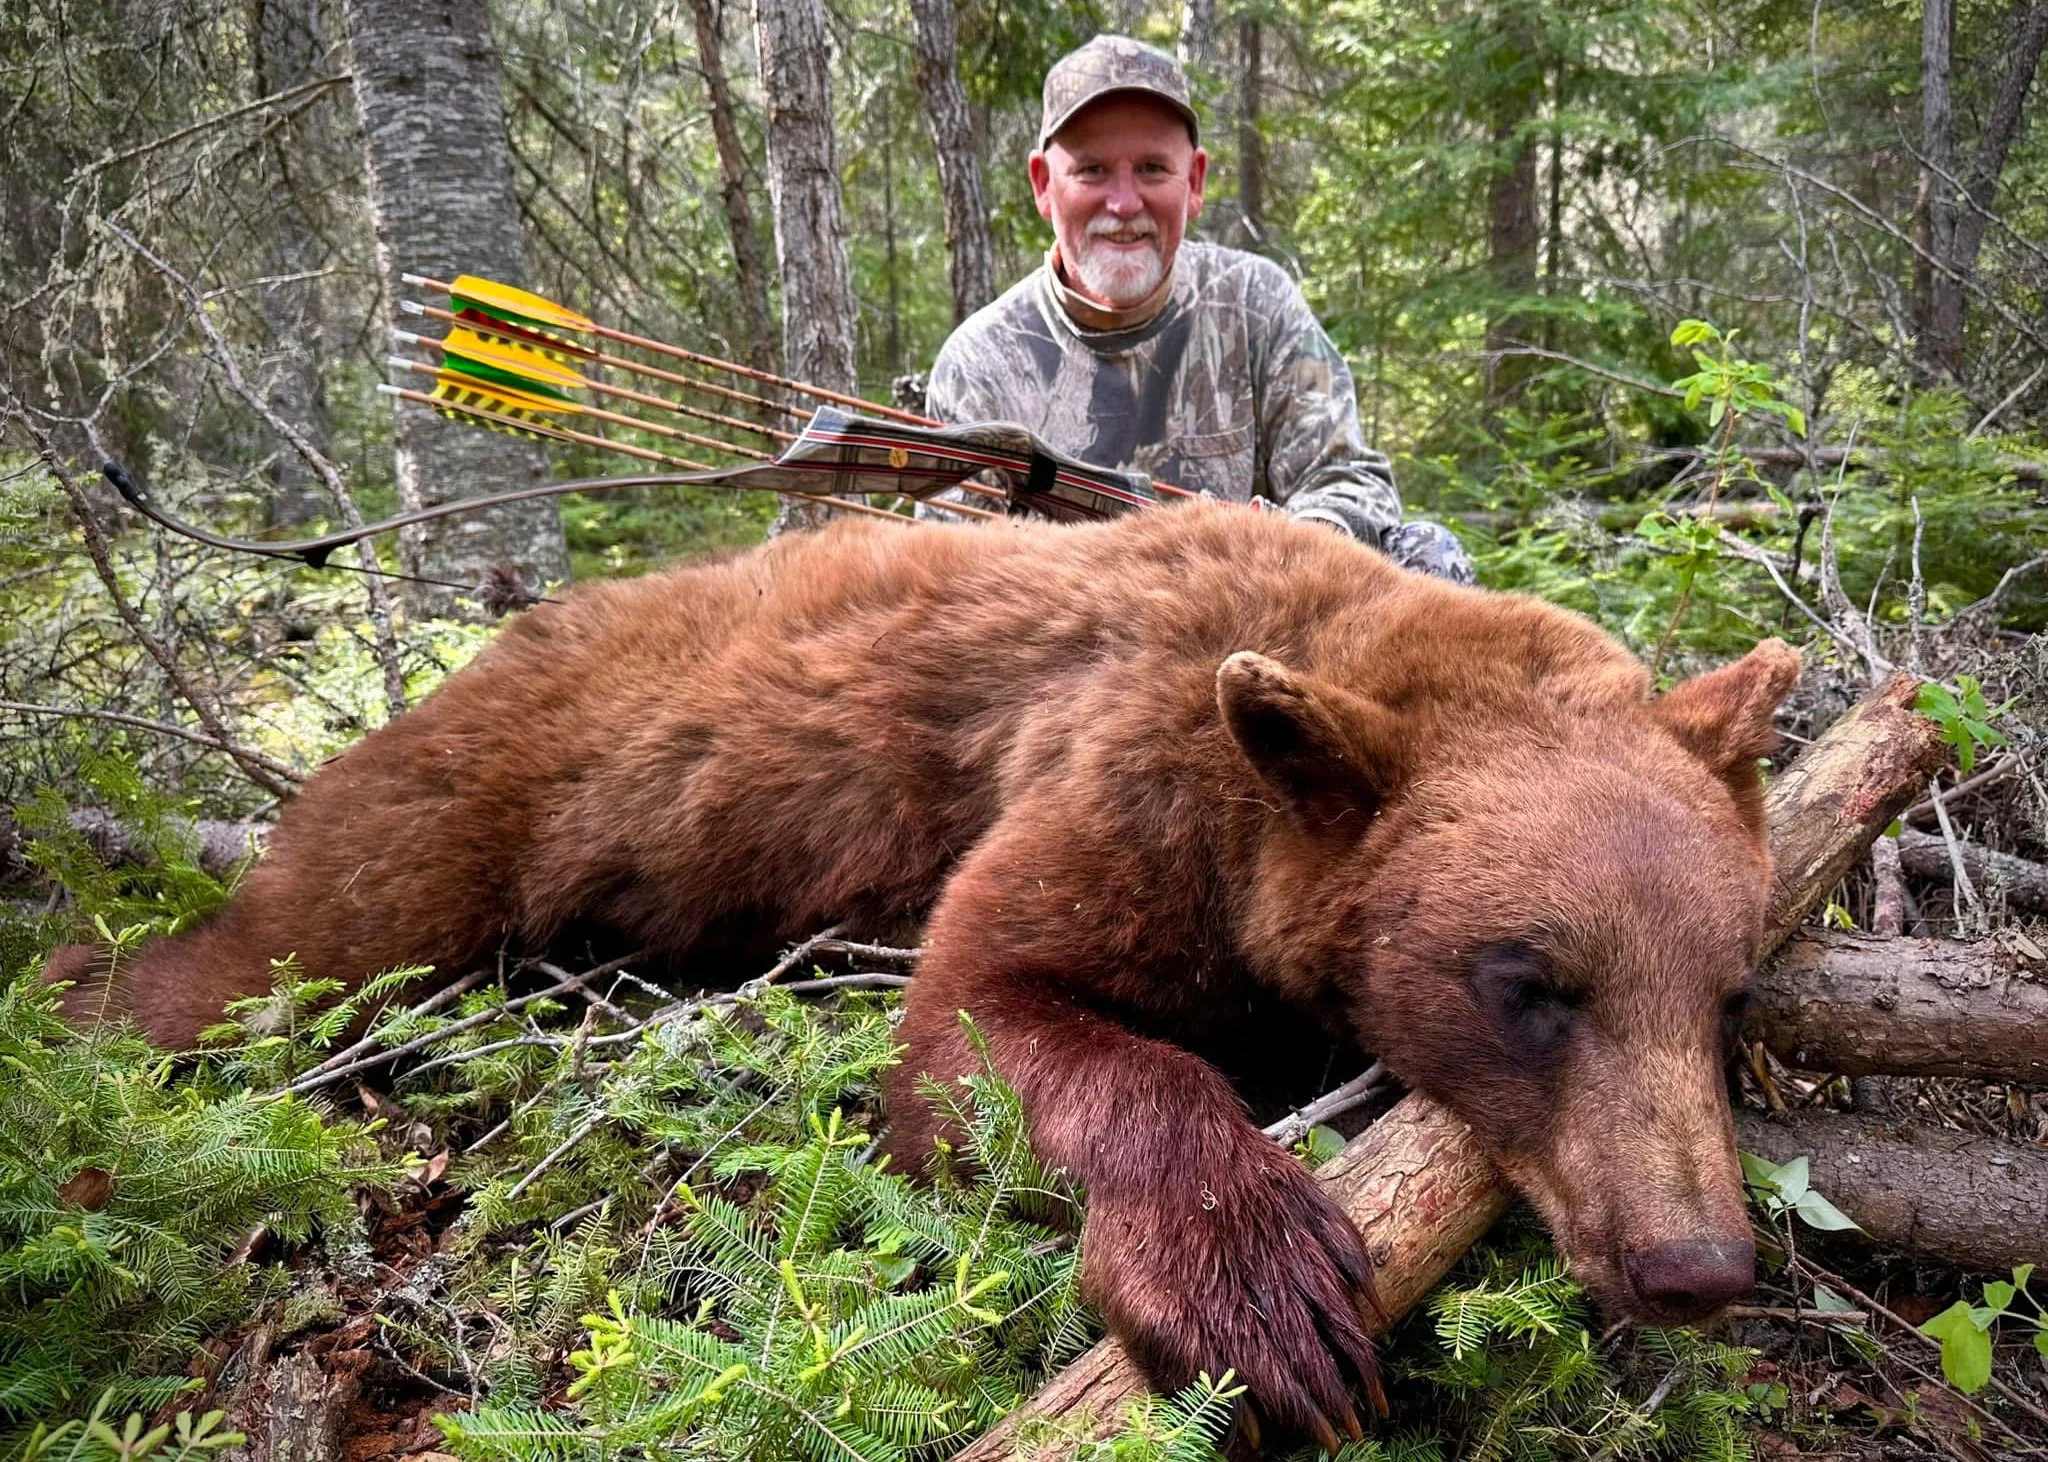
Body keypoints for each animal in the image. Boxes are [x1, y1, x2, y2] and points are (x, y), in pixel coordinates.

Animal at [44, 500, 1800, 1448]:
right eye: (1529, 979)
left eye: (1723, 990)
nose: (1697, 1263)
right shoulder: (1122, 772)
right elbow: (977, 1012)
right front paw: (1257, 1292)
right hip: (448, 828)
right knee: (266, 959)